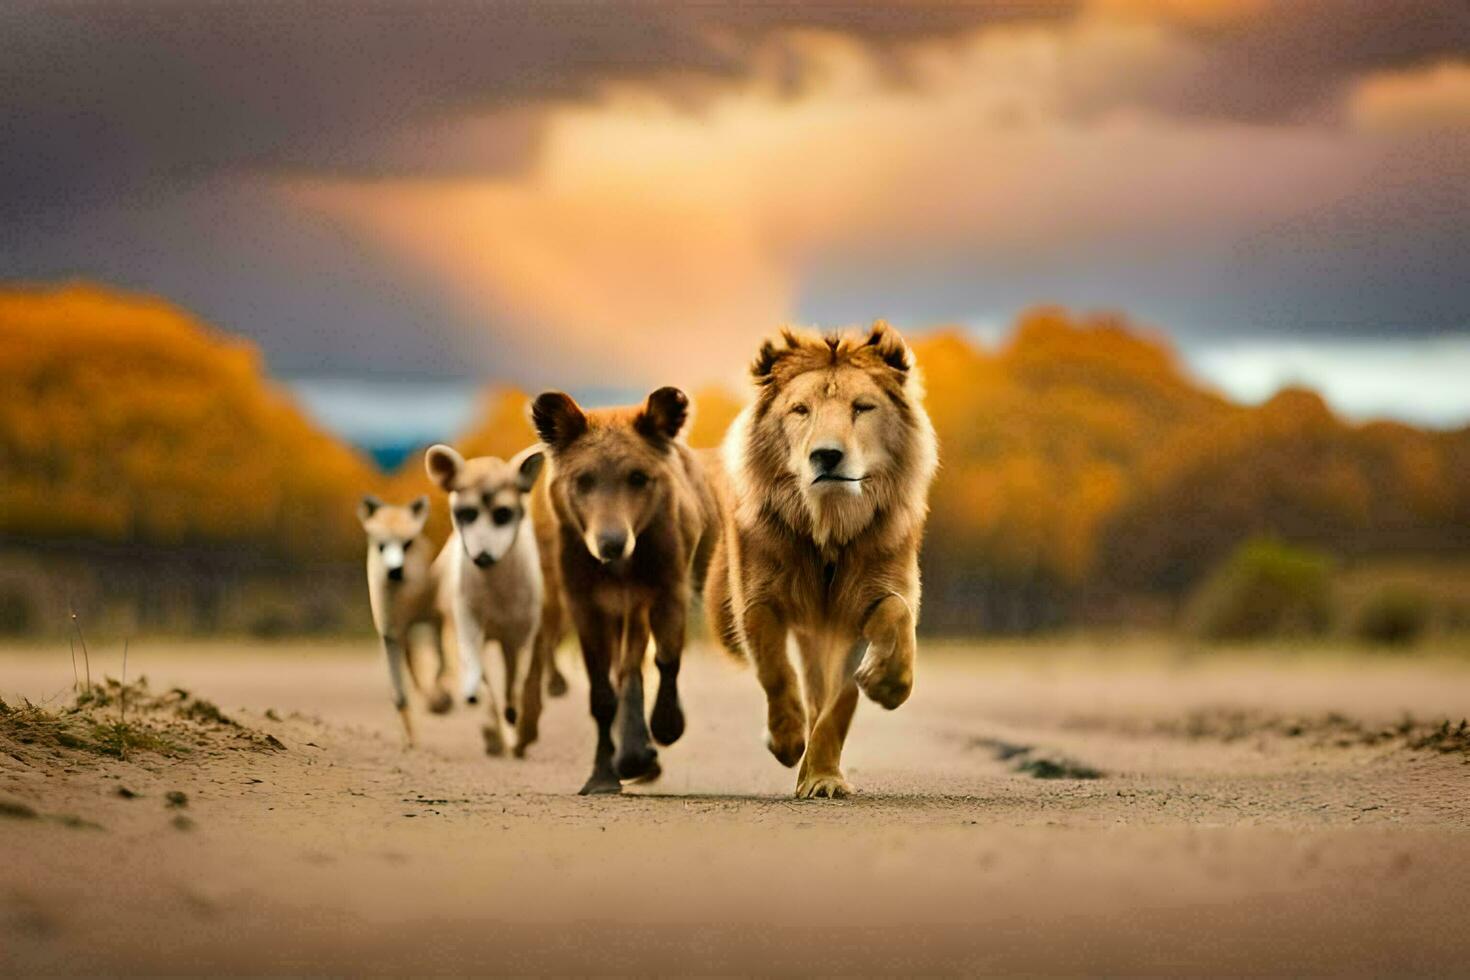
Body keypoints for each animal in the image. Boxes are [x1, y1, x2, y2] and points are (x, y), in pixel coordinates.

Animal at [357, 493, 452, 746]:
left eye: (407, 543)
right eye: (381, 545)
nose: (395, 571)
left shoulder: (436, 619)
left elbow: (441, 665)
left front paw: (441, 701)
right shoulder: (390, 633)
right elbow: (400, 694)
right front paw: (411, 741)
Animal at [429, 443, 558, 758]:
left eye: (503, 514)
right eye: (465, 513)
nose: (482, 557)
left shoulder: (521, 634)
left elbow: (515, 684)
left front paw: (513, 721)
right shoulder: (467, 622)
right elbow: (479, 678)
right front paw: (490, 729)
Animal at [535, 387, 717, 793]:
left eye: (638, 477)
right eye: (583, 479)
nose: (612, 542)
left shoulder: (667, 586)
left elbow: (666, 659)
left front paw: (666, 726)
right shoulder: (583, 602)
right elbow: (601, 693)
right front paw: (603, 774)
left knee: (635, 662)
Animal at [702, 321, 934, 799]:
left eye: (862, 407)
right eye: (800, 410)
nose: (826, 455)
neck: (828, 524)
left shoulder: (863, 603)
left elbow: (845, 695)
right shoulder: (759, 600)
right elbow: (775, 672)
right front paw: (786, 740)